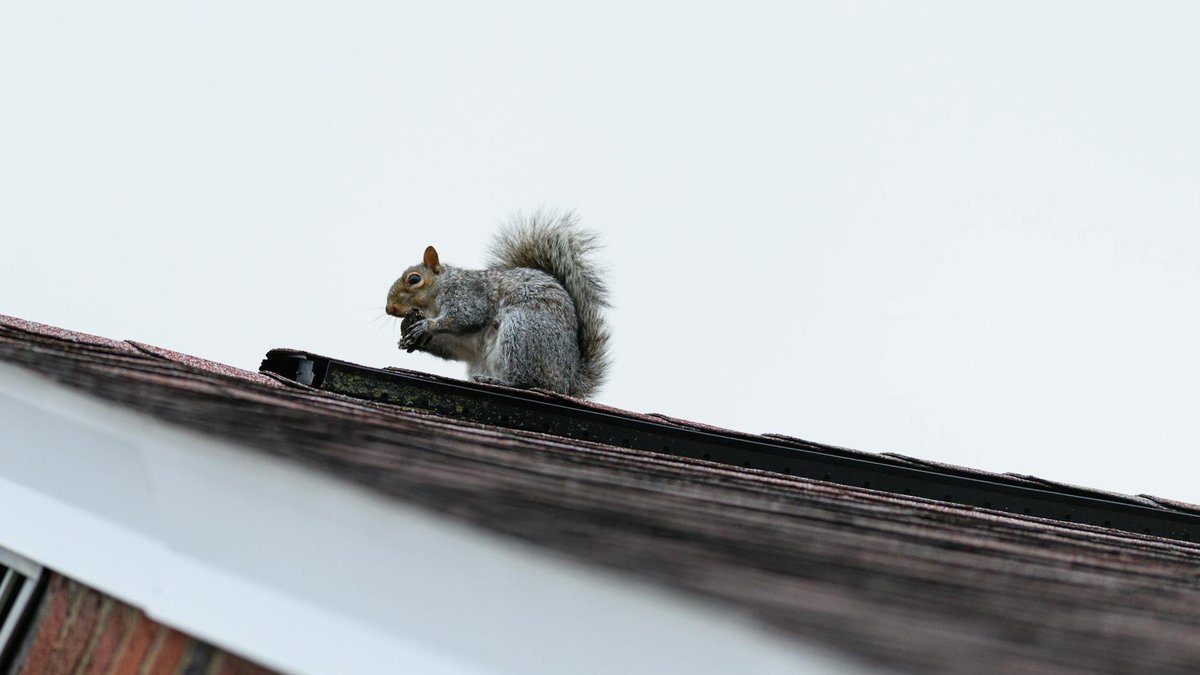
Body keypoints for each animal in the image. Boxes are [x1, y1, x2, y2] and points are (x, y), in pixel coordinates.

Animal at [385, 210, 612, 398]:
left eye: (414, 279)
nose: (389, 309)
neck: (434, 300)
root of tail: (567, 381)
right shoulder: (463, 344)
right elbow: (453, 347)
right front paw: (410, 340)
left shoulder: (469, 294)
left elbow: (466, 316)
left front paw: (425, 326)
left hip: (523, 332)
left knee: (528, 382)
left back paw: (499, 381)